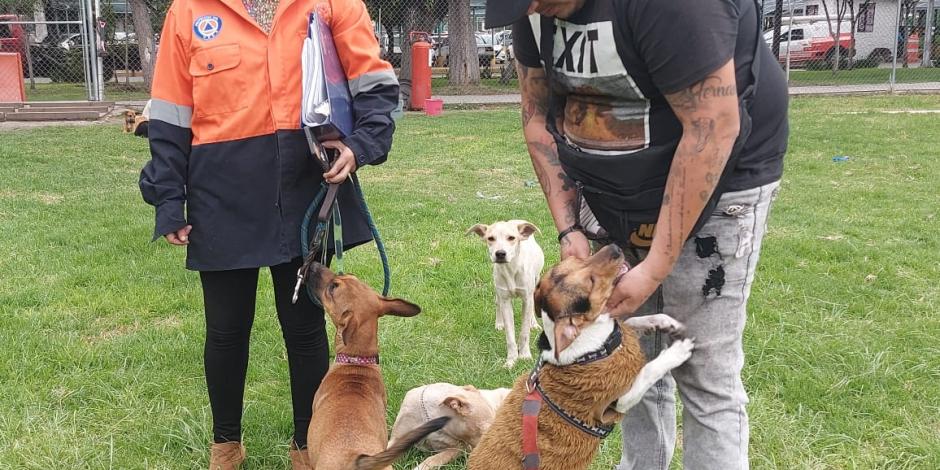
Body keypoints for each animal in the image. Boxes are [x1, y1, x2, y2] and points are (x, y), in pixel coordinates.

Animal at [466, 246, 692, 470]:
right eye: (591, 282)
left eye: (578, 259)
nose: (615, 248)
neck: (594, 348)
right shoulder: (620, 401)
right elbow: (649, 370)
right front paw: (678, 350)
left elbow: (634, 321)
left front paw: (664, 322)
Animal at [468, 220, 544, 368]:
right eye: (490, 238)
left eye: (511, 238)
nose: (500, 253)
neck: (511, 269)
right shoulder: (505, 299)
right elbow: (510, 335)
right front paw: (511, 360)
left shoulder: (527, 297)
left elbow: (524, 332)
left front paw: (525, 355)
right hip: (497, 286)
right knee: (497, 303)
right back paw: (499, 323)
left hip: (535, 280)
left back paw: (533, 323)